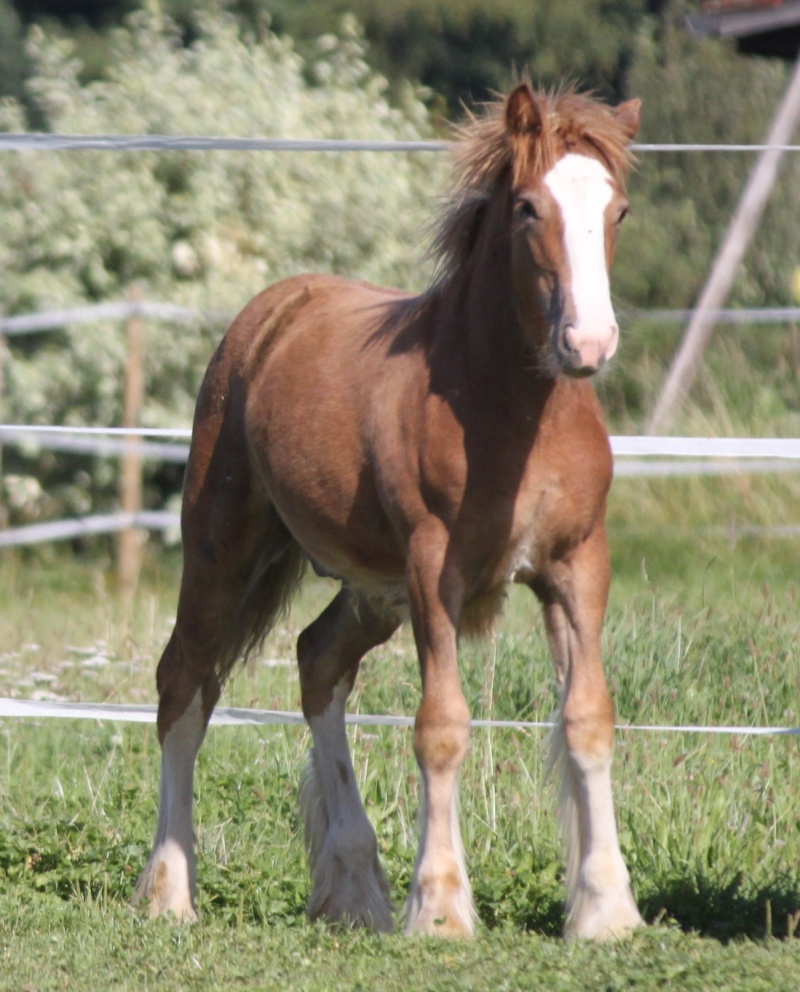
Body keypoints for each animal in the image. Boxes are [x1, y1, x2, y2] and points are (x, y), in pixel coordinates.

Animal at [131, 83, 644, 936]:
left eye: (618, 210)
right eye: (528, 208)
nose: (589, 343)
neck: (509, 411)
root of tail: (269, 312)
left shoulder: (579, 564)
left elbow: (589, 720)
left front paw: (606, 911)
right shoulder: (435, 567)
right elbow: (441, 727)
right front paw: (439, 907)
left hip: (374, 591)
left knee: (317, 661)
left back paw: (353, 889)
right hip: (225, 546)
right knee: (185, 683)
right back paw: (171, 891)